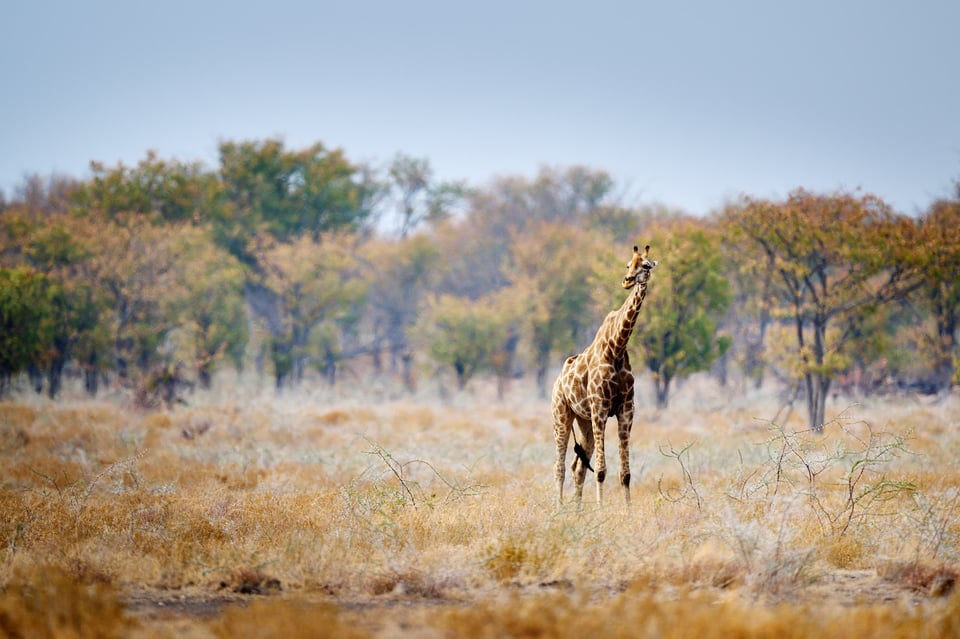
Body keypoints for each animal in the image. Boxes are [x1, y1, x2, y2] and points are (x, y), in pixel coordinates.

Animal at [552, 242, 656, 508]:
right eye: (628, 264)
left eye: (646, 265)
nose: (627, 281)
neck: (616, 347)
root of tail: (557, 382)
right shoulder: (600, 407)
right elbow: (600, 470)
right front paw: (601, 509)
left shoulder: (626, 409)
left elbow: (625, 473)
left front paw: (628, 511)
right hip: (562, 416)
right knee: (560, 467)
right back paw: (559, 509)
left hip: (584, 421)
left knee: (577, 466)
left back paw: (577, 511)